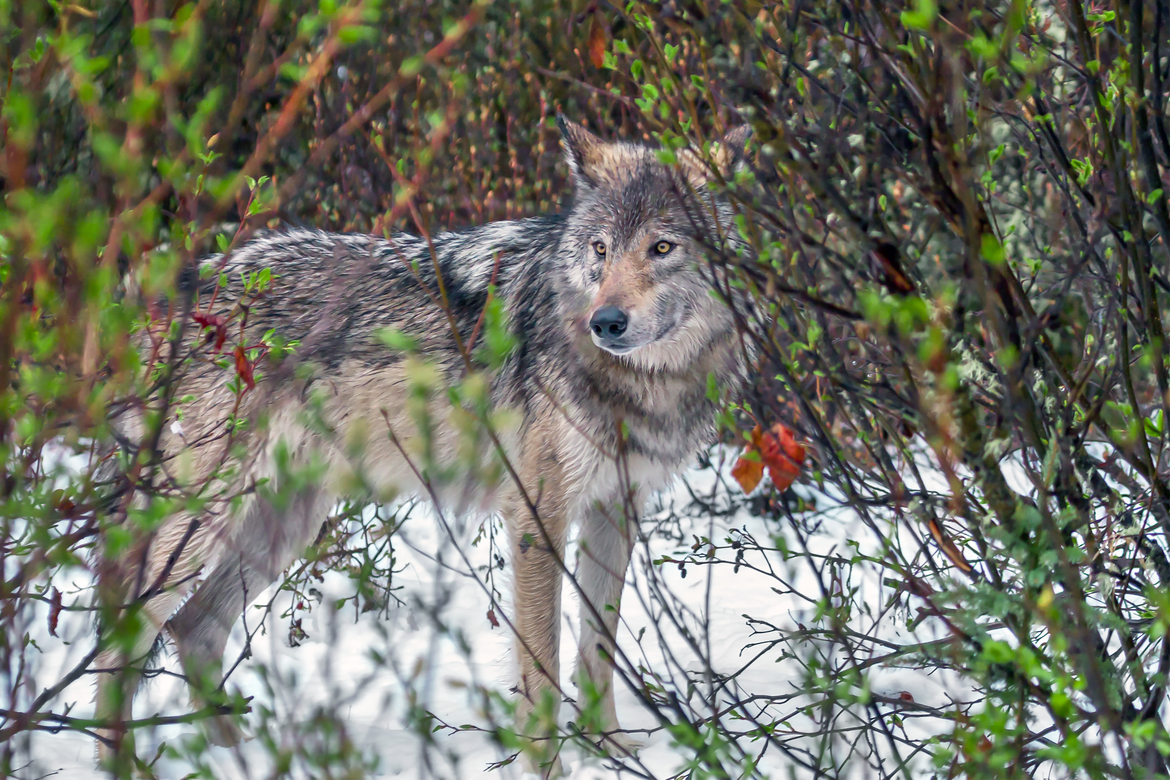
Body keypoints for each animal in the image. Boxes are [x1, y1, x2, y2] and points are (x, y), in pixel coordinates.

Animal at [94, 116, 751, 776]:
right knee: (120, 632)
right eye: (600, 249)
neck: (639, 382)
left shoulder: (616, 510)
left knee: (196, 627)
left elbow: (596, 650)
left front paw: (611, 752)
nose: (606, 322)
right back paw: (120, 760)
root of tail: (153, 298)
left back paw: (239, 759)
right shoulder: (537, 514)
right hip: (200, 523)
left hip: (282, 527)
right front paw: (548, 765)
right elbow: (541, 665)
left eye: (662, 248)